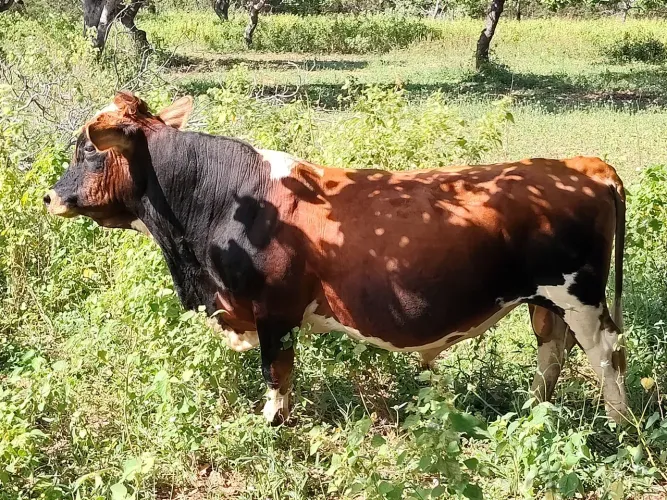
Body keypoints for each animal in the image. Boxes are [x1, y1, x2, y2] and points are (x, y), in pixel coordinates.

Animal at [44, 92, 628, 425]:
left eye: (87, 151)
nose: (49, 197)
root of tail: (583, 163)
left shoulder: (273, 310)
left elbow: (276, 374)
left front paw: (273, 425)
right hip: (544, 299)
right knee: (552, 351)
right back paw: (536, 411)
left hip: (579, 296)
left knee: (606, 356)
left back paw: (620, 425)